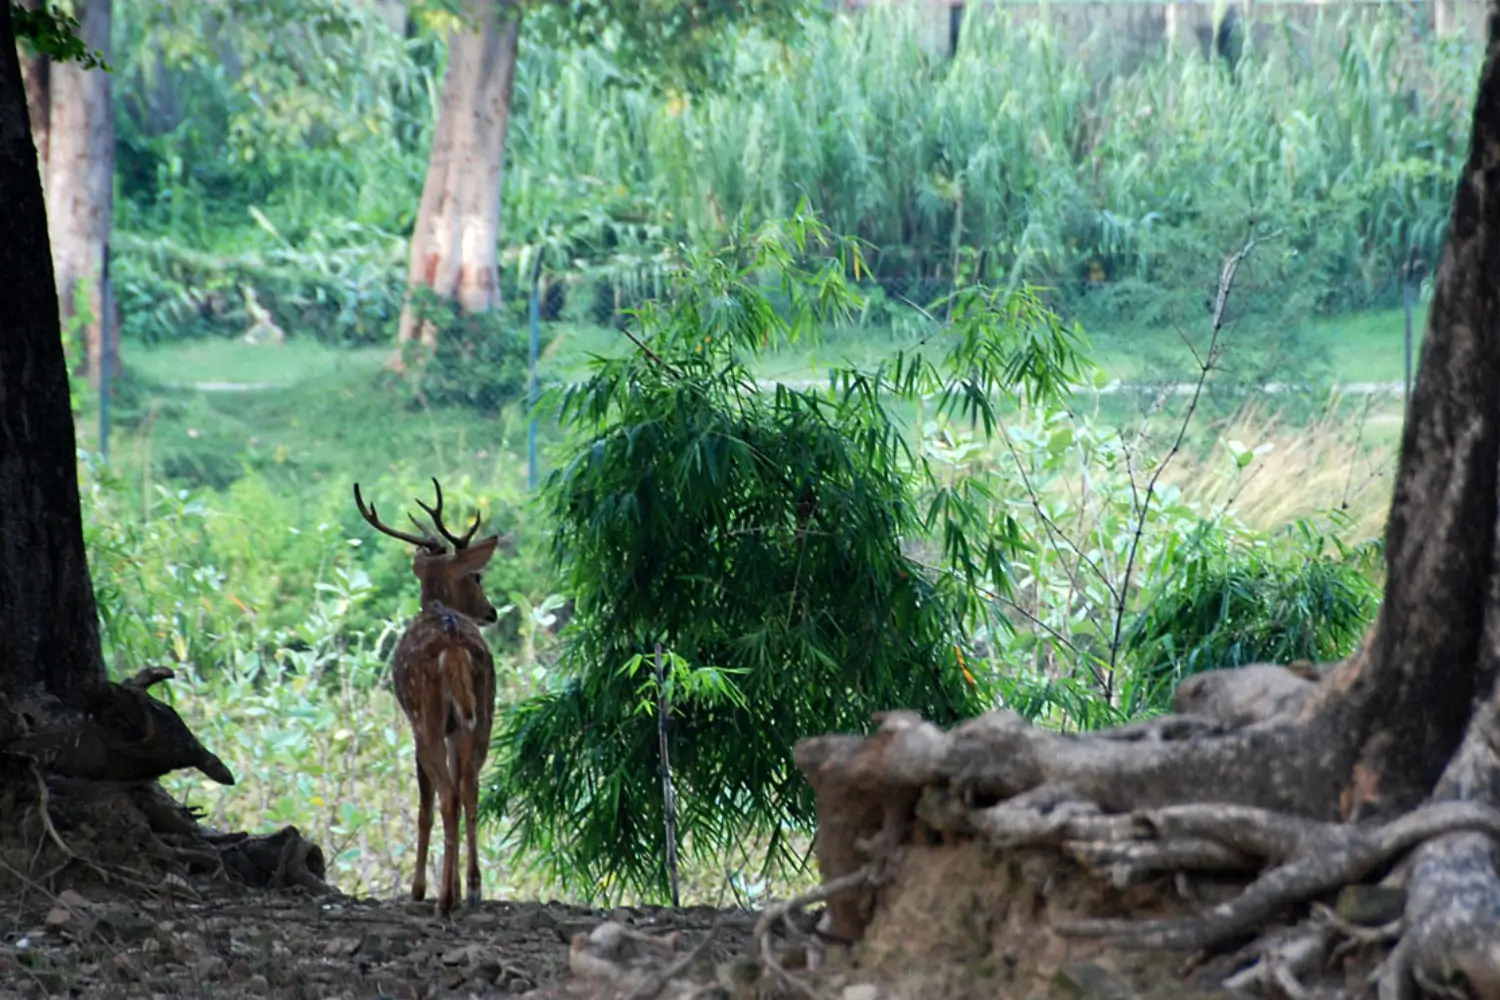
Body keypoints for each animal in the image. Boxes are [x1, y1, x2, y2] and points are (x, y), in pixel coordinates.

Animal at [353, 477, 502, 917]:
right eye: (476, 578)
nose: (492, 612)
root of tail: (453, 646)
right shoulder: (460, 726)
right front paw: (463, 884)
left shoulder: (414, 727)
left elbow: (423, 805)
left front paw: (418, 888)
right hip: (483, 711)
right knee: (470, 786)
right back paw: (472, 888)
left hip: (426, 715)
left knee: (447, 794)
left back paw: (442, 898)